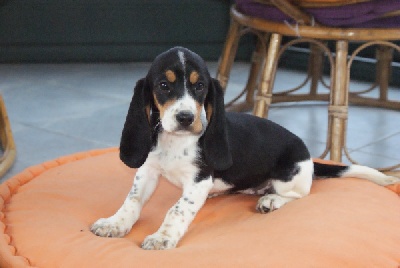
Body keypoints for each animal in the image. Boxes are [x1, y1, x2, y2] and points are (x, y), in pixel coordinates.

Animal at [90, 46, 400, 249]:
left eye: (200, 87)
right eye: (164, 85)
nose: (186, 118)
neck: (175, 142)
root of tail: (311, 158)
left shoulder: (199, 180)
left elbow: (177, 209)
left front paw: (162, 237)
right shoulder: (148, 170)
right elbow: (132, 201)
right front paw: (115, 223)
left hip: (289, 175)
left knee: (300, 194)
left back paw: (271, 200)